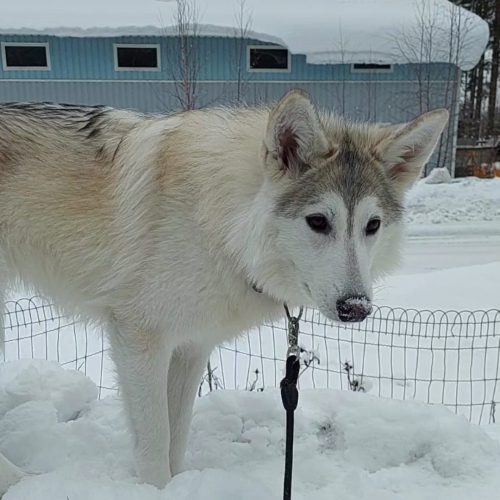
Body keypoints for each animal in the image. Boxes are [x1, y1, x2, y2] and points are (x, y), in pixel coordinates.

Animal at [0, 91, 450, 496]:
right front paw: (156, 490)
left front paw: (180, 486)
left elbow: (176, 438)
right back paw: (18, 480)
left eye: (372, 225)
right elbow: (155, 443)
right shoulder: (140, 341)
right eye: (319, 221)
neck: (222, 227)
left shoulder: (190, 348)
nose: (356, 308)